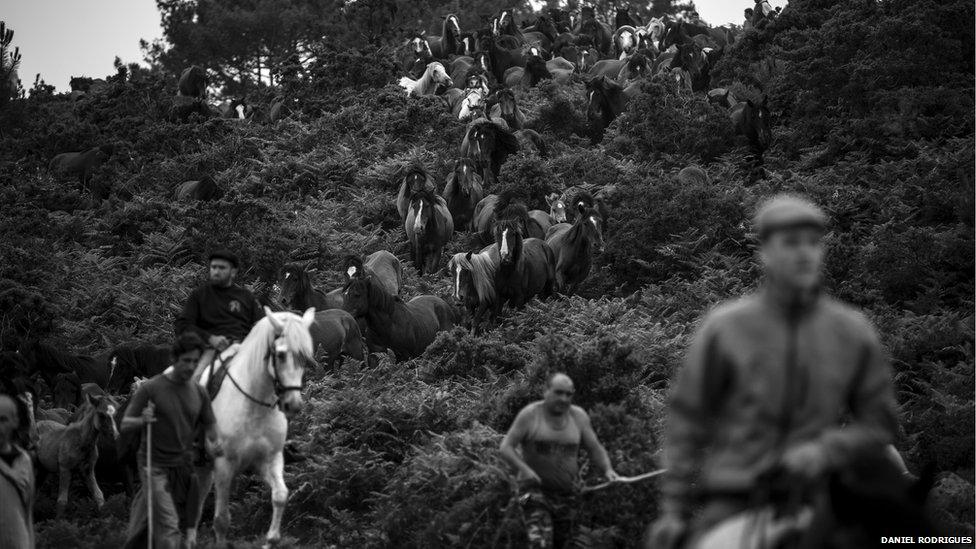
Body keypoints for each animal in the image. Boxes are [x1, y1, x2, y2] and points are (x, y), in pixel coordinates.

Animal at [189, 306, 314, 544]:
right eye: (280, 355)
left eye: (305, 357)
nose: (292, 405)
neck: (255, 406)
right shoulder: (224, 466)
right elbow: (221, 521)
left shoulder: (269, 460)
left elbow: (280, 496)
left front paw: (271, 539)